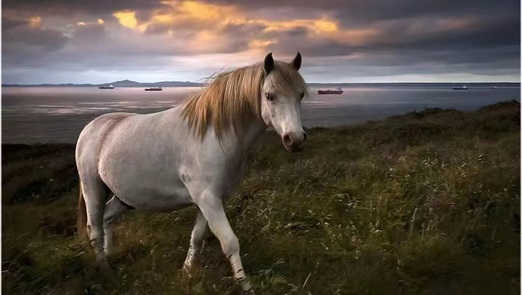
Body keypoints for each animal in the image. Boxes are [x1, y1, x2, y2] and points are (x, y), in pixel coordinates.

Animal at [75, 52, 306, 294]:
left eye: (300, 95)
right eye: (270, 96)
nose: (295, 139)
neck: (214, 135)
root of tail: (92, 127)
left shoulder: (212, 200)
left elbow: (197, 237)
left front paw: (186, 271)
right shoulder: (208, 199)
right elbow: (230, 242)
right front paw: (246, 286)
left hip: (124, 198)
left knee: (107, 219)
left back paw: (109, 255)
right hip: (92, 188)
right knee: (94, 229)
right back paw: (105, 271)